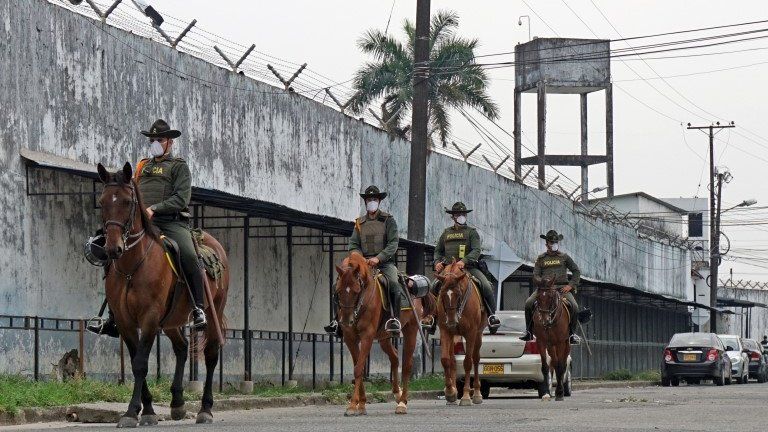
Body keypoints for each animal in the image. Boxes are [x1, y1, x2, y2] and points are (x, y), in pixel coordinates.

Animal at [96, 163, 230, 428]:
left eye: (127, 201)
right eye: (102, 201)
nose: (113, 248)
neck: (132, 265)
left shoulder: (149, 317)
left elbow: (140, 364)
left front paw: (132, 412)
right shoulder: (125, 322)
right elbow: (137, 360)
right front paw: (147, 410)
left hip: (213, 311)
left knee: (210, 354)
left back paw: (205, 409)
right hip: (170, 320)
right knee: (182, 347)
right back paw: (177, 403)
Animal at [334, 253, 436, 416]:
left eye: (356, 291)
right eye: (338, 291)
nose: (346, 320)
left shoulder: (367, 336)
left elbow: (358, 368)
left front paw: (352, 405)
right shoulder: (350, 338)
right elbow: (358, 366)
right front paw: (361, 404)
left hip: (411, 330)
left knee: (407, 365)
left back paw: (402, 403)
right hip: (384, 338)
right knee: (394, 357)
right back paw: (397, 393)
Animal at [432, 260, 486, 404]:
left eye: (459, 294)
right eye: (442, 294)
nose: (451, 321)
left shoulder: (471, 333)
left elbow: (467, 362)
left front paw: (466, 396)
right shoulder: (445, 331)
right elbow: (445, 360)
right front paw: (450, 392)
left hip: (478, 334)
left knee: (476, 359)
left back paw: (477, 394)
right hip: (453, 335)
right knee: (452, 360)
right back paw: (453, 393)